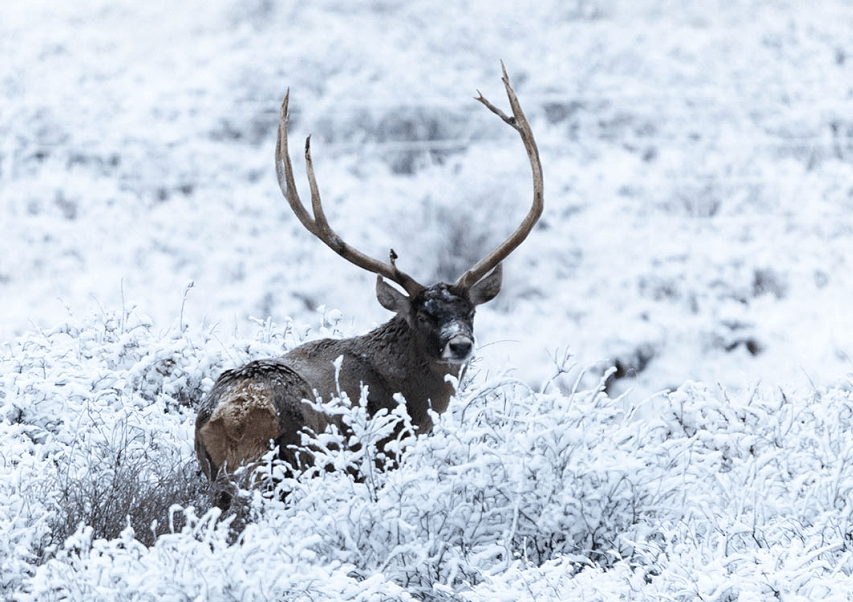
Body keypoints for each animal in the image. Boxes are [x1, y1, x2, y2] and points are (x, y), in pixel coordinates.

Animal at [194, 63, 544, 480]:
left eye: (470, 311)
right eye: (423, 315)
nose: (460, 344)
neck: (407, 392)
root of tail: (233, 417)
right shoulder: (384, 450)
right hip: (296, 459)